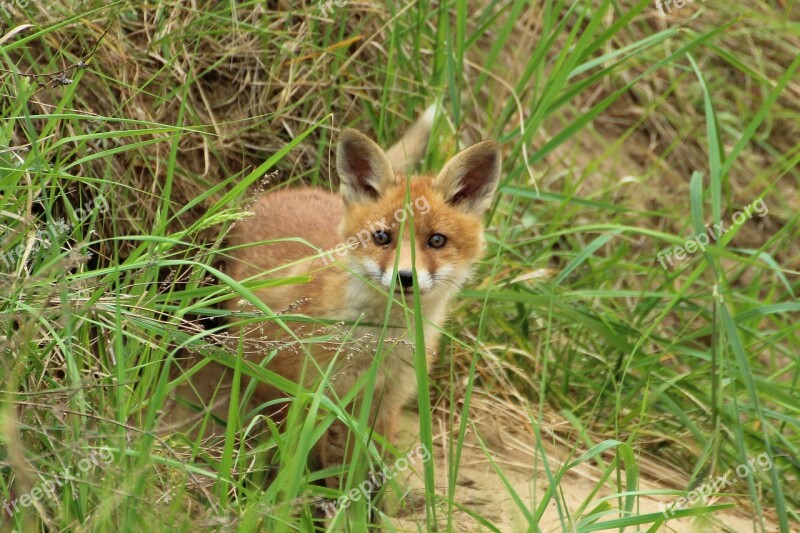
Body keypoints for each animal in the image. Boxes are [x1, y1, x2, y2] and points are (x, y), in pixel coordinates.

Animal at [222, 110, 500, 484]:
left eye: (437, 241)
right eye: (382, 237)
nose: (405, 277)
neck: (377, 346)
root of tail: (289, 191)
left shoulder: (384, 403)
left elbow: (369, 472)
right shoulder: (304, 394)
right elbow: (303, 464)